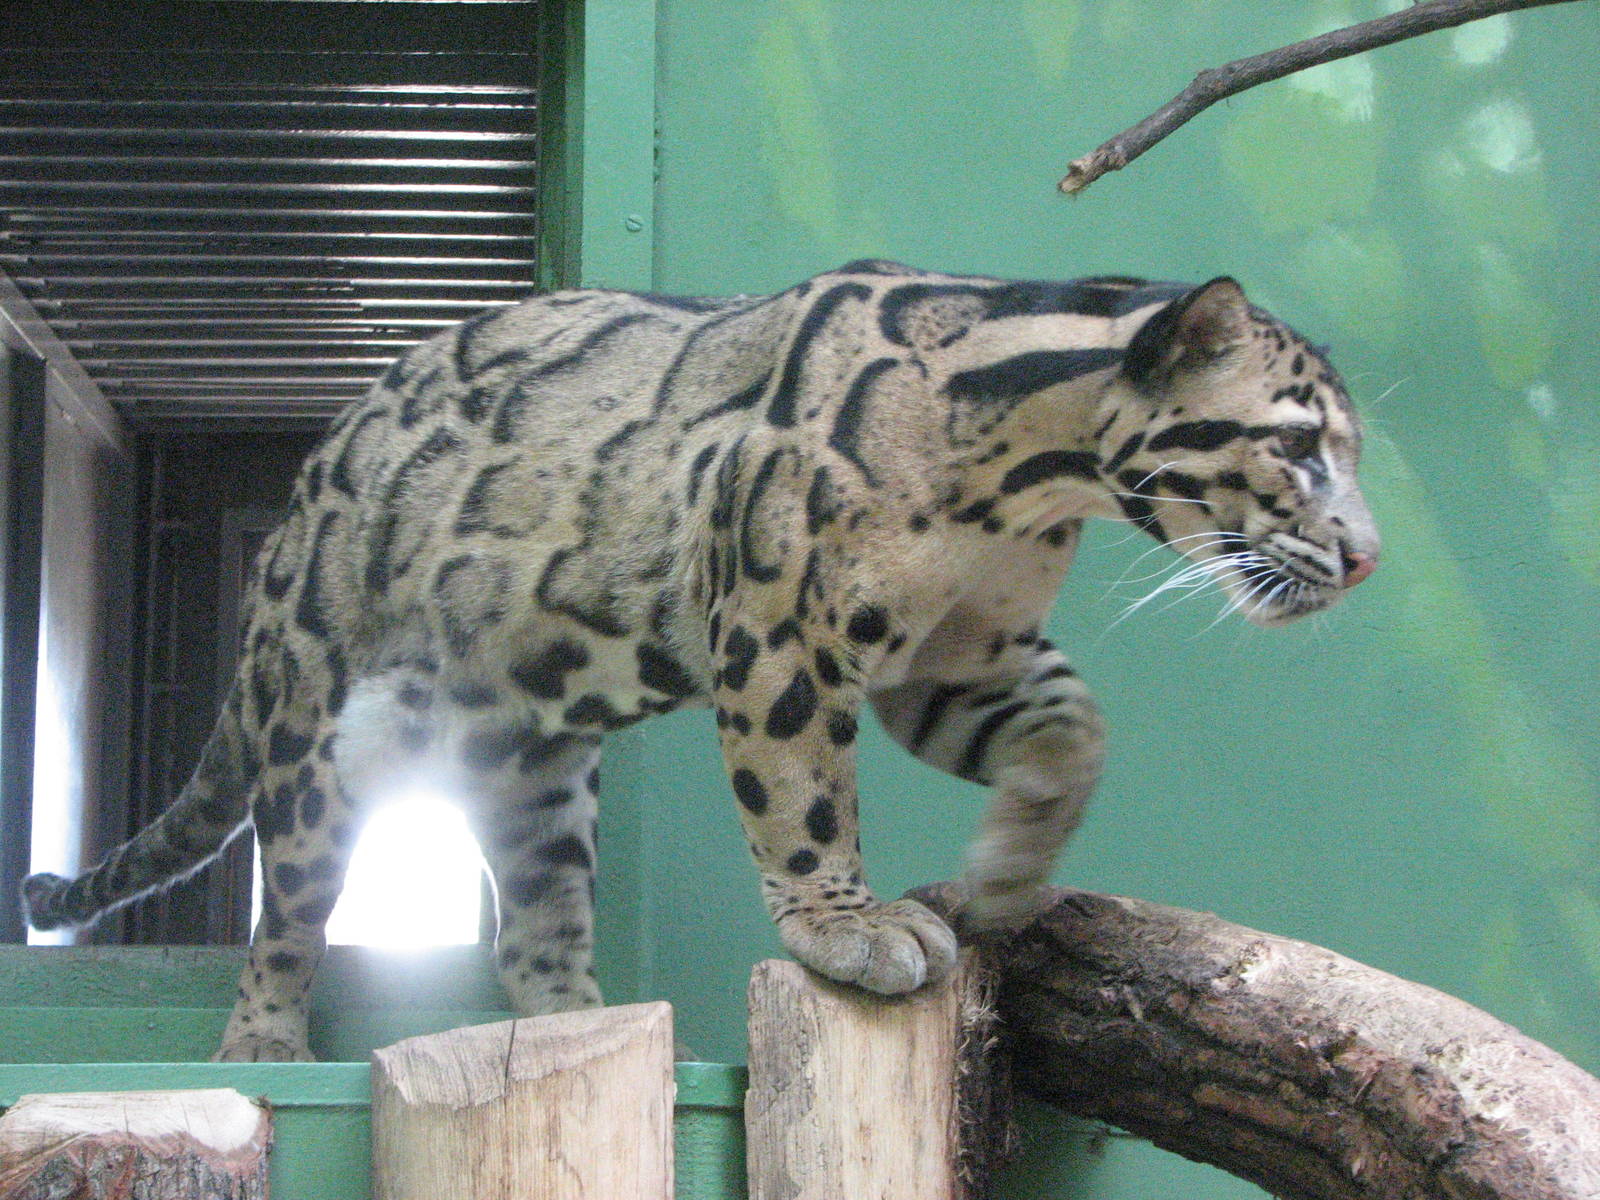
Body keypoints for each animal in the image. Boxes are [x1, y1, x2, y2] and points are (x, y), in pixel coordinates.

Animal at [23, 260, 1379, 1062]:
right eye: (1298, 446)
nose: (1365, 558)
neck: (1033, 481)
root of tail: (304, 494)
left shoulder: (955, 657)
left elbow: (1075, 728)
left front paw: (1004, 871)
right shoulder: (787, 629)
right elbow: (804, 798)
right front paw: (845, 928)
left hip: (531, 768)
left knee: (532, 932)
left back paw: (595, 1030)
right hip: (321, 724)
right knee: (289, 908)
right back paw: (263, 1044)